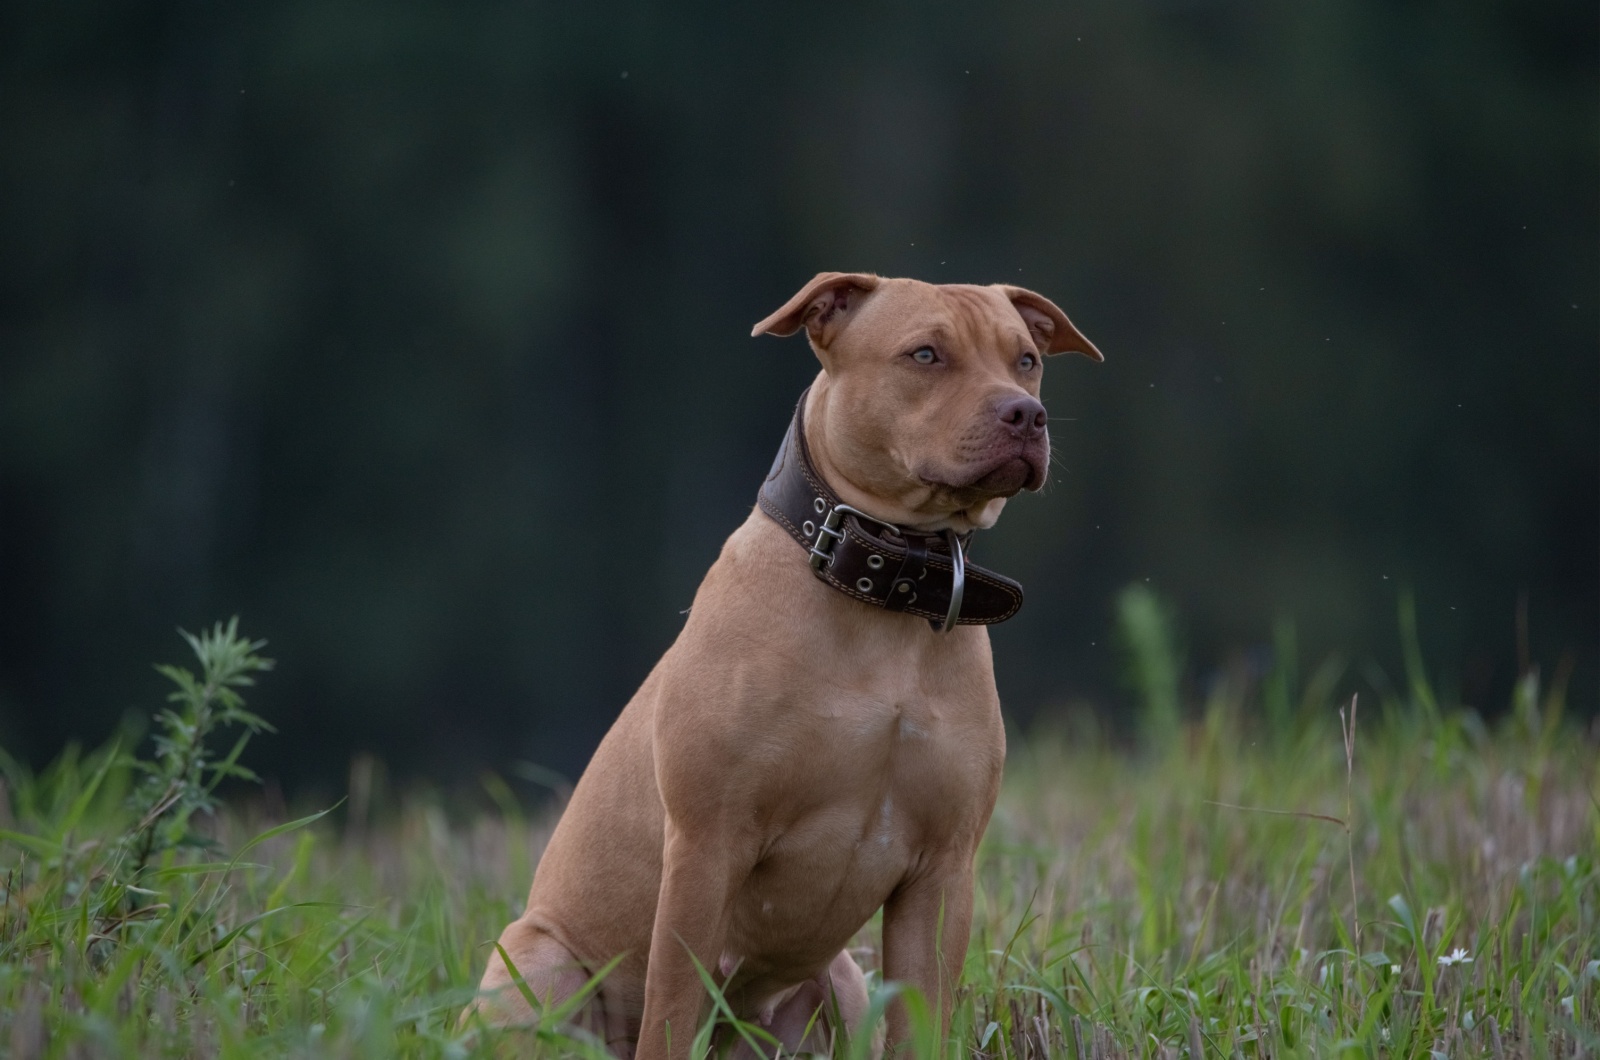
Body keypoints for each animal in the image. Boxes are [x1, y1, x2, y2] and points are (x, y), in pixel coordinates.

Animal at [470, 270, 1100, 1056]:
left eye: (1026, 360)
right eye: (925, 355)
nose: (1026, 414)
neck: (883, 600)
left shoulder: (943, 873)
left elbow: (923, 1018)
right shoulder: (706, 849)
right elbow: (670, 1012)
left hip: (844, 983)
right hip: (538, 965)